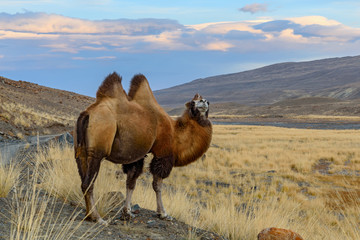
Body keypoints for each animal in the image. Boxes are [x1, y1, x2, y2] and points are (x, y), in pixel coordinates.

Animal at [74, 72, 212, 224]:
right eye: (193, 102)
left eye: (205, 101)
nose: (205, 101)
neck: (175, 132)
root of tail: (87, 114)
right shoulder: (163, 154)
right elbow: (157, 185)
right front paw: (163, 213)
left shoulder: (137, 156)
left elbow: (131, 182)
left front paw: (127, 213)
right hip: (98, 148)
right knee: (88, 183)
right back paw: (98, 218)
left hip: (81, 151)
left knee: (83, 179)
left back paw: (88, 215)